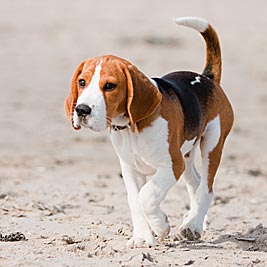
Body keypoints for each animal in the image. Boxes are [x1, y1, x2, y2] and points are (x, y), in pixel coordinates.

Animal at [65, 17, 234, 249]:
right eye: (82, 82)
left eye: (109, 86)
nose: (81, 110)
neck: (131, 128)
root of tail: (206, 78)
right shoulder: (131, 170)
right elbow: (135, 201)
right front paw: (142, 237)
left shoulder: (172, 165)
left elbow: (146, 196)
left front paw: (161, 225)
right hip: (186, 155)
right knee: (196, 184)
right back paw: (196, 221)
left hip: (211, 145)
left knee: (207, 189)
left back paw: (192, 225)